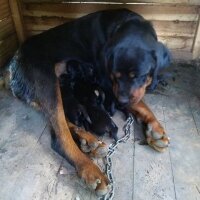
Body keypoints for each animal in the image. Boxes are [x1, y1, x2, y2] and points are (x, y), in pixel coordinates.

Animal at [8, 9, 170, 195]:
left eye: (139, 76)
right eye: (115, 75)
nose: (120, 101)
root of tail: (13, 64)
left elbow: (140, 101)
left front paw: (154, 127)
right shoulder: (107, 81)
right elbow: (139, 101)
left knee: (62, 121)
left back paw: (89, 141)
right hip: (47, 81)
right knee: (60, 136)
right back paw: (90, 170)